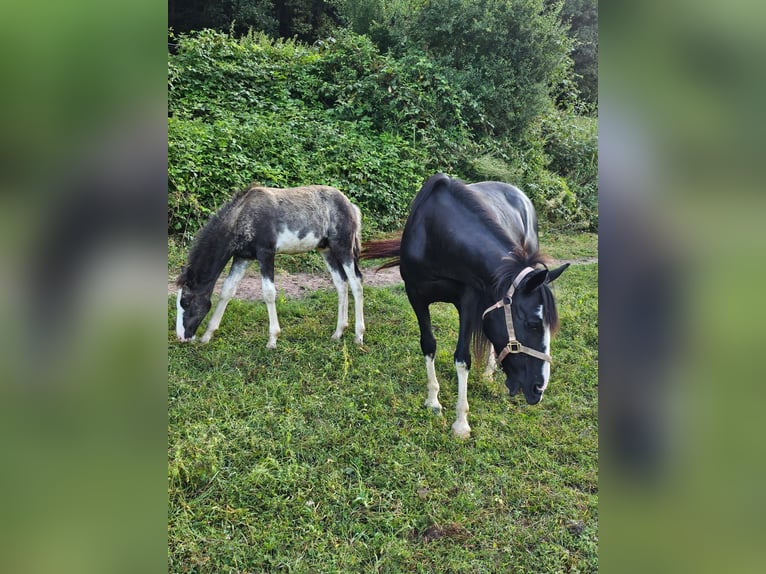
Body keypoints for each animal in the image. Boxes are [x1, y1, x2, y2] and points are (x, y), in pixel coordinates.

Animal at [176, 186, 366, 346]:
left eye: (185, 302)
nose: (181, 337)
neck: (243, 216)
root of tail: (350, 205)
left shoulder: (266, 254)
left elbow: (268, 293)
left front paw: (273, 339)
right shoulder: (242, 257)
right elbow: (227, 291)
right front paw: (207, 336)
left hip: (343, 248)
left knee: (356, 283)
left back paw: (359, 336)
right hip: (326, 250)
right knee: (341, 283)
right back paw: (338, 332)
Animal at [364, 173, 568, 438]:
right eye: (533, 324)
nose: (538, 389)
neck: (435, 235)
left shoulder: (469, 301)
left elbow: (462, 357)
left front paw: (461, 423)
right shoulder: (416, 296)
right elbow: (428, 344)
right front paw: (433, 401)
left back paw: (489, 372)